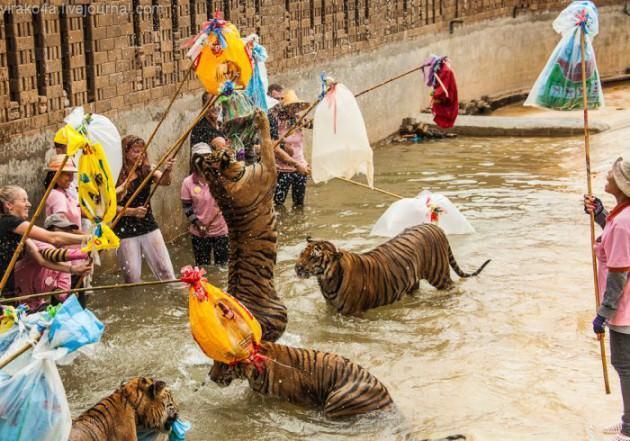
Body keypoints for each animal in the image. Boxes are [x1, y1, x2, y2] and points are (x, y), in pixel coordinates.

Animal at [194, 108, 290, 342]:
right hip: (281, 314)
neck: (220, 182)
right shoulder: (268, 171)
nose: (224, 130)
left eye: (213, 148)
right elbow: (266, 142)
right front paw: (260, 116)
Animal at [294, 223, 492, 312]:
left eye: (313, 257)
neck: (326, 282)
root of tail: (435, 226)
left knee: (452, 287)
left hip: (439, 275)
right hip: (412, 281)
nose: (297, 268)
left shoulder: (353, 313)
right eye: (302, 253)